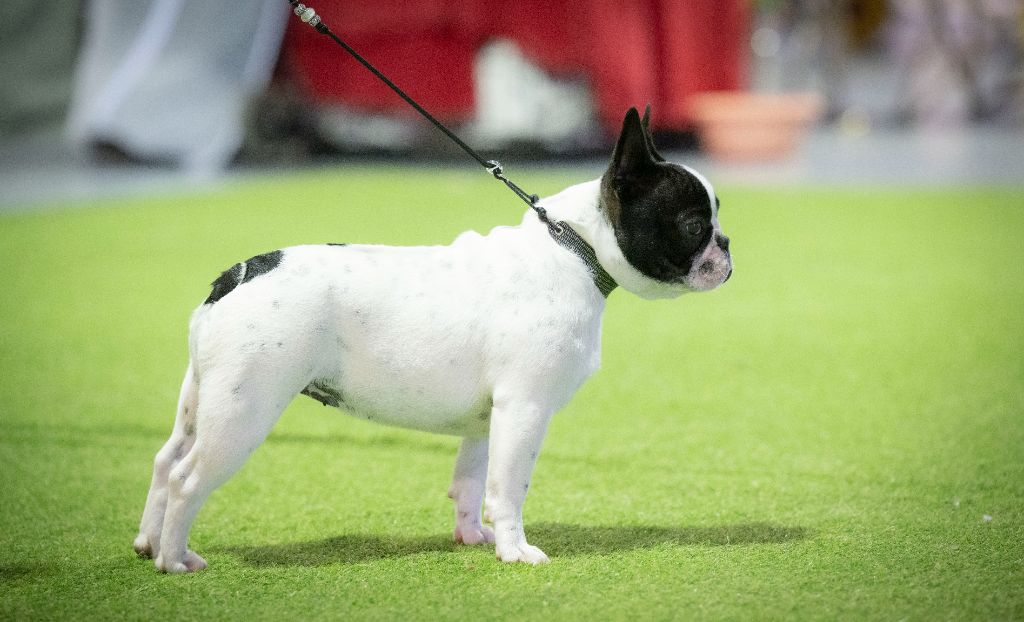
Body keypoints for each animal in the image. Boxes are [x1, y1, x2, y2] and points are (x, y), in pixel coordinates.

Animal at [132, 104, 733, 573]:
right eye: (692, 224)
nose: (727, 246)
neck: (574, 248)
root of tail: (239, 274)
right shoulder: (525, 409)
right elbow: (508, 488)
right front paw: (516, 551)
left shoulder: (488, 419)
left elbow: (471, 482)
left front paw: (474, 537)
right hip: (245, 409)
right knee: (186, 478)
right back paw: (175, 559)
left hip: (203, 398)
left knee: (165, 460)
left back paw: (147, 543)